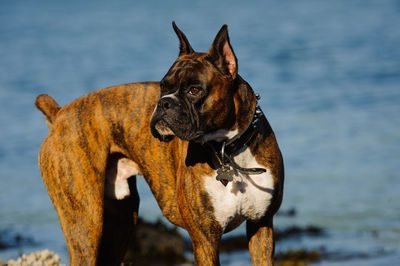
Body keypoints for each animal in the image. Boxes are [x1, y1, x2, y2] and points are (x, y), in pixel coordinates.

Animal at [35, 22, 284, 266]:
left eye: (194, 90)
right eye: (163, 87)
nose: (164, 102)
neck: (228, 149)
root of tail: (58, 115)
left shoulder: (261, 226)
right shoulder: (206, 238)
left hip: (121, 221)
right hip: (85, 224)